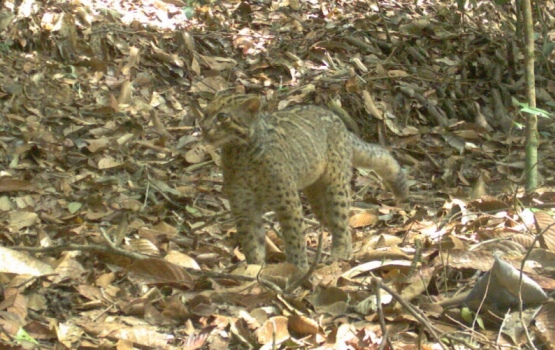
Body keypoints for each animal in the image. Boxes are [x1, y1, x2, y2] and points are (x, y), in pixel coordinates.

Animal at [202, 94, 410, 272]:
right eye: (206, 113)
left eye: (222, 116)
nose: (203, 128)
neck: (238, 152)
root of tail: (341, 125)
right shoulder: (243, 205)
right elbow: (252, 241)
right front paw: (253, 270)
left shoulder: (287, 201)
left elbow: (294, 237)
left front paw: (298, 268)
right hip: (317, 198)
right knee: (333, 221)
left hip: (335, 186)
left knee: (342, 222)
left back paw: (340, 254)